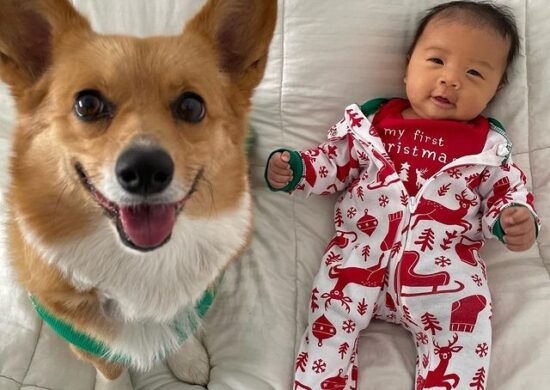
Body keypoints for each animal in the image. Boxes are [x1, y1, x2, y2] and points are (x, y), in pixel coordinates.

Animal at [0, 0, 276, 384]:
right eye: (87, 104)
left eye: (191, 106)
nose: (145, 170)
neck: (140, 261)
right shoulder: (79, 332)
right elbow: (110, 366)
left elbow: (181, 328)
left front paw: (188, 359)